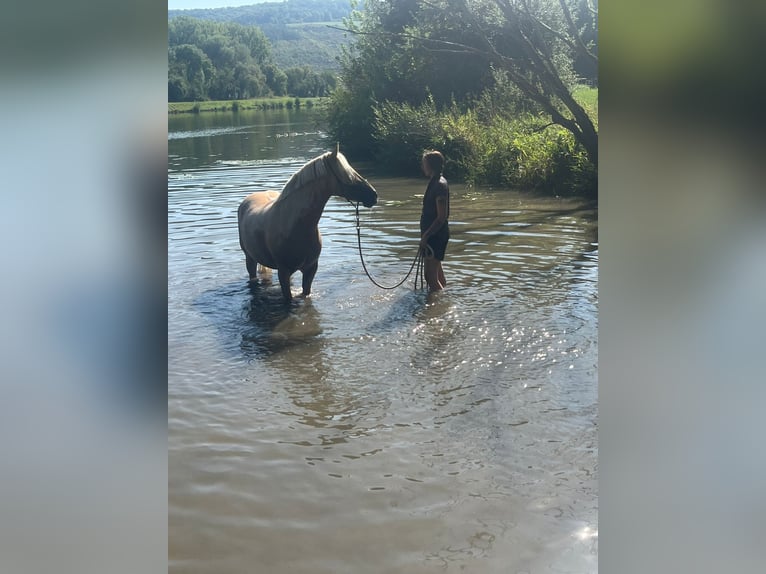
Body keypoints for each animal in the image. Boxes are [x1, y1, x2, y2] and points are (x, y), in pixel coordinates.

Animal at [236, 148, 376, 302]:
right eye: (347, 175)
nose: (374, 195)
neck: (295, 226)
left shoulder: (310, 269)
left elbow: (306, 293)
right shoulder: (283, 272)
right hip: (250, 259)